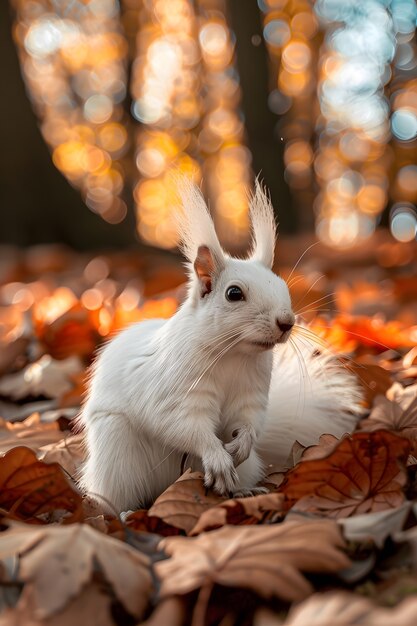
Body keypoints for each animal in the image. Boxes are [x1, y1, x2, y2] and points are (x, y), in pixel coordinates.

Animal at [78, 178, 360, 510]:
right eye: (234, 294)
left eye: (282, 286)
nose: (287, 322)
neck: (232, 355)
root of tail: (165, 486)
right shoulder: (176, 392)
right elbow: (186, 426)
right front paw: (218, 458)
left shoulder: (250, 394)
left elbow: (250, 420)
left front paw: (240, 446)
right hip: (119, 456)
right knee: (118, 497)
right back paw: (122, 512)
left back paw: (245, 491)